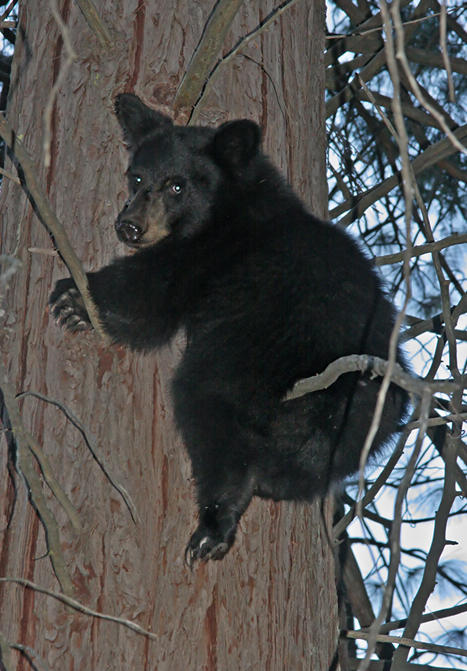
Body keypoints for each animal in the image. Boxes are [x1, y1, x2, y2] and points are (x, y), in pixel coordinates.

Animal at [50, 93, 409, 565]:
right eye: (137, 176)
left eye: (177, 185)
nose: (129, 225)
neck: (231, 206)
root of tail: (335, 388)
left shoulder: (205, 256)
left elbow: (149, 295)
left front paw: (74, 297)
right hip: (369, 418)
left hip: (235, 360)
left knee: (210, 420)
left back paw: (213, 525)